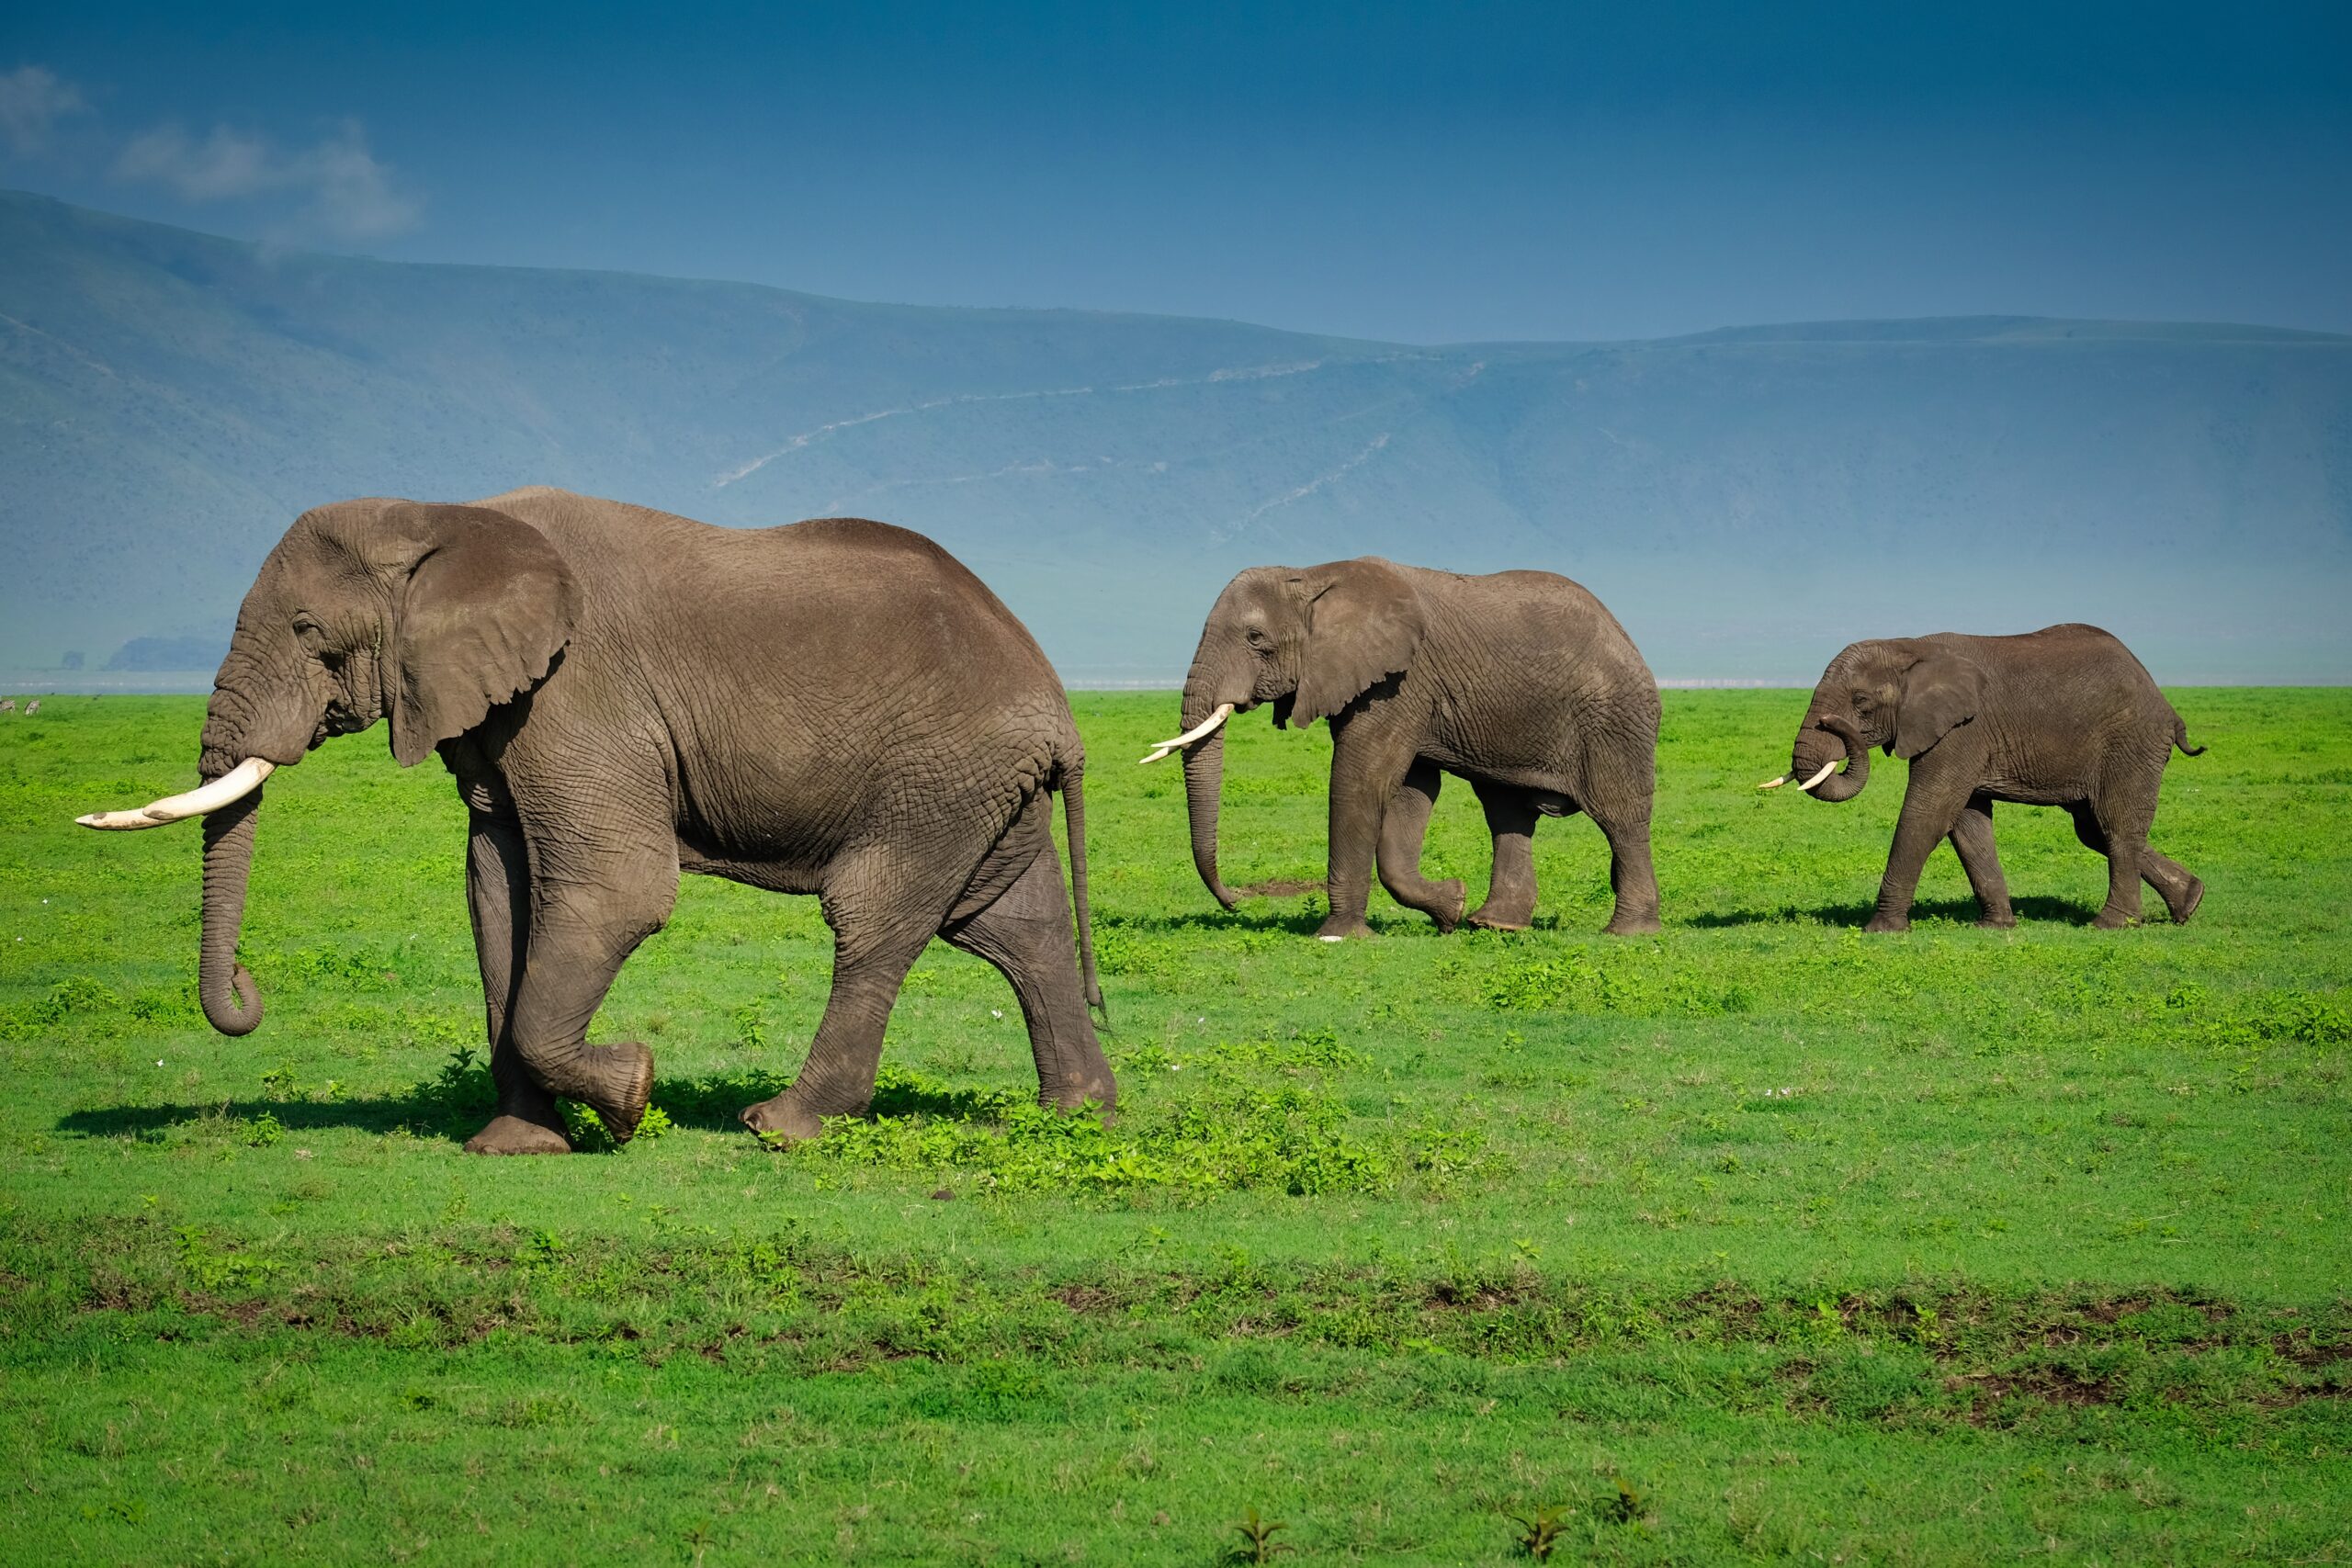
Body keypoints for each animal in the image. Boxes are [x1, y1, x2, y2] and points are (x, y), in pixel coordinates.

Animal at [80, 486, 1110, 1152]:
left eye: (306, 630)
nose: (247, 990)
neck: (448, 517)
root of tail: (1058, 708)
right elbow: (496, 895)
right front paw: (515, 1146)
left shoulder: (579, 696)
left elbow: (618, 893)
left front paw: (630, 1099)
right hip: (975, 786)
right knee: (1014, 927)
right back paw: (1077, 1115)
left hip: (934, 777)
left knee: (877, 919)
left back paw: (781, 1129)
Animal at [1148, 557, 1665, 940]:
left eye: (1256, 639)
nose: (1235, 902)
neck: (1313, 575)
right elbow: (1411, 790)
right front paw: (1451, 908)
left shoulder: (1400, 680)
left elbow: (1363, 778)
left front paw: (1338, 936)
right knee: (1506, 811)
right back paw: (1493, 925)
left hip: (1614, 719)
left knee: (1619, 816)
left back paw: (1628, 933)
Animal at [1769, 625, 2201, 931]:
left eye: (1861, 702)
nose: (1832, 723)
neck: (1910, 646)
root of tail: (2166, 705)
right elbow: (1967, 823)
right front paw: (1996, 926)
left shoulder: (1962, 731)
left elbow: (1927, 813)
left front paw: (1881, 930)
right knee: (2093, 830)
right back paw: (2189, 903)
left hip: (2130, 745)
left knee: (2116, 826)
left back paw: (2110, 925)